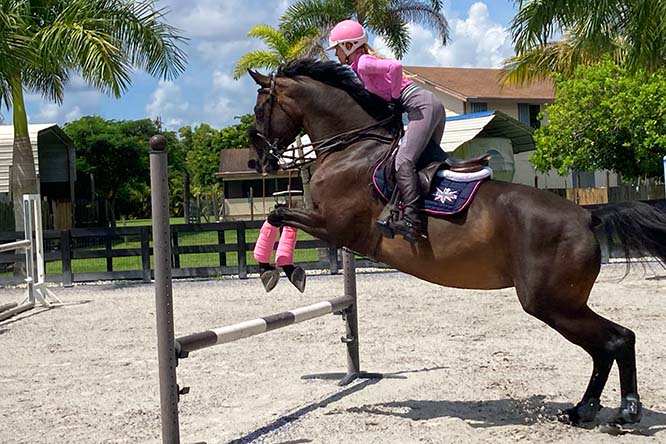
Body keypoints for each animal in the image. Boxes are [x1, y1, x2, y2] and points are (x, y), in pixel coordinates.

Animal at [246, 58, 666, 427]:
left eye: (259, 110)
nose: (258, 163)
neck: (352, 149)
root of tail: (586, 216)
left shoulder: (333, 226)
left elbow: (278, 214)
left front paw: (279, 269)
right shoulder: (328, 224)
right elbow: (279, 215)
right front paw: (279, 270)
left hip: (551, 303)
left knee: (616, 340)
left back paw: (624, 411)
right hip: (562, 304)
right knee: (608, 346)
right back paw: (585, 411)